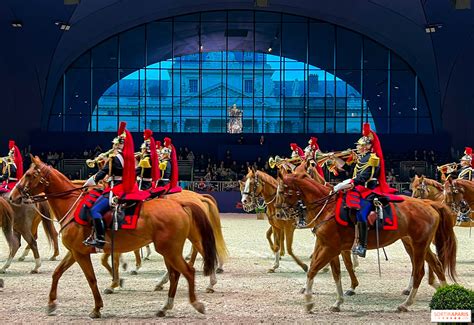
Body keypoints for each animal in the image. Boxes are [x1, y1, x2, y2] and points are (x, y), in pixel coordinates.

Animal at [10, 156, 218, 318]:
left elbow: (92, 279)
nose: (13, 196)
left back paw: (197, 301)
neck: (72, 204)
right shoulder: (75, 252)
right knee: (177, 273)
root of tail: (181, 204)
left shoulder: (81, 254)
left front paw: (97, 307)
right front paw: (51, 304)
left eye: (29, 175)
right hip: (169, 250)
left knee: (189, 270)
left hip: (170, 250)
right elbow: (57, 273)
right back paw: (165, 306)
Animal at [276, 172, 458, 312]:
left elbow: (313, 270)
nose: (278, 214)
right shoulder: (328, 247)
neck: (327, 207)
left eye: (283, 192)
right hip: (420, 245)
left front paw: (308, 302)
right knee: (437, 266)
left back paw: (406, 304)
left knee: (419, 271)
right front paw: (338, 302)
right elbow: (335, 273)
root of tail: (429, 204)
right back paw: (444, 293)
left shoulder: (330, 248)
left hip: (418, 245)